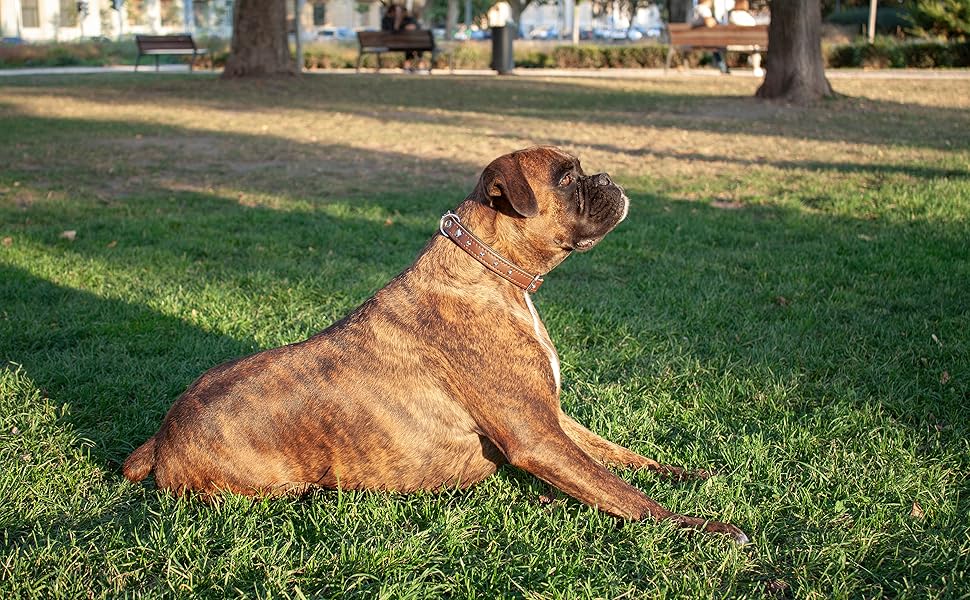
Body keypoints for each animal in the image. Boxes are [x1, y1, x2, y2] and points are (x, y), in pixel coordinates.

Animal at [125, 146, 744, 544]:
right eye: (568, 179)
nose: (609, 177)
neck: (492, 272)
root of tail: (161, 438)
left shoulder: (551, 417)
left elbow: (616, 456)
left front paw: (685, 474)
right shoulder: (536, 437)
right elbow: (622, 492)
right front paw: (704, 528)